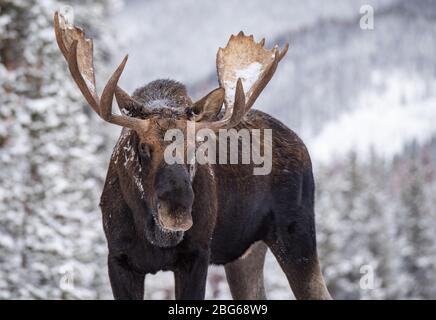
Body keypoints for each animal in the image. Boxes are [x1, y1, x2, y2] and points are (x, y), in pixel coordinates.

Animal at [53, 10, 330, 300]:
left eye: (196, 147)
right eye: (143, 146)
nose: (177, 210)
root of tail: (301, 144)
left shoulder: (197, 256)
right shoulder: (118, 258)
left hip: (296, 235)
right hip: (244, 253)